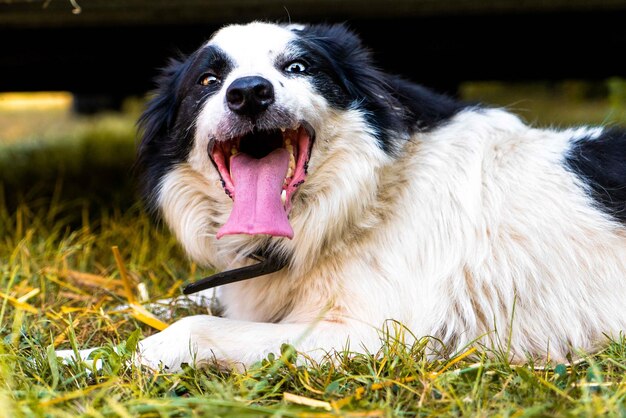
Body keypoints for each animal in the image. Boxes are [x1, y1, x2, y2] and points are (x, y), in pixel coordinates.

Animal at [132, 21, 624, 370]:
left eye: (298, 67)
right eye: (208, 80)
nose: (250, 92)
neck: (360, 201)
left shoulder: (377, 333)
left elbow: (198, 326)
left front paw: (129, 354)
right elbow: (178, 300)